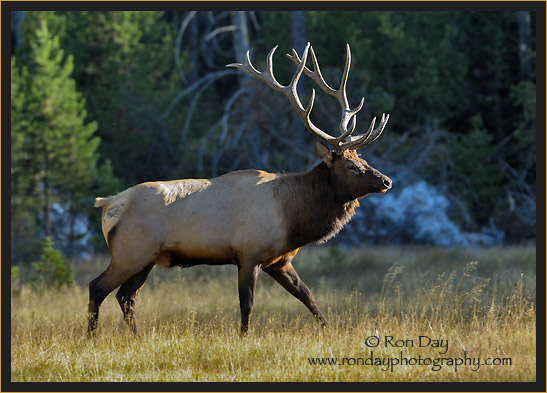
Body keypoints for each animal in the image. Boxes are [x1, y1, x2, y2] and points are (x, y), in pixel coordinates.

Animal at [88, 43, 392, 336]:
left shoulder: (279, 260)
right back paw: (92, 336)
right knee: (98, 287)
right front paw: (243, 337)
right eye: (350, 166)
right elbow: (247, 303)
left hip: (146, 258)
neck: (294, 217)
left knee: (127, 297)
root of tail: (107, 204)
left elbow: (308, 296)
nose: (386, 181)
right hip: (130, 252)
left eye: (363, 159)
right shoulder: (249, 253)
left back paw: (136, 336)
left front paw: (329, 330)